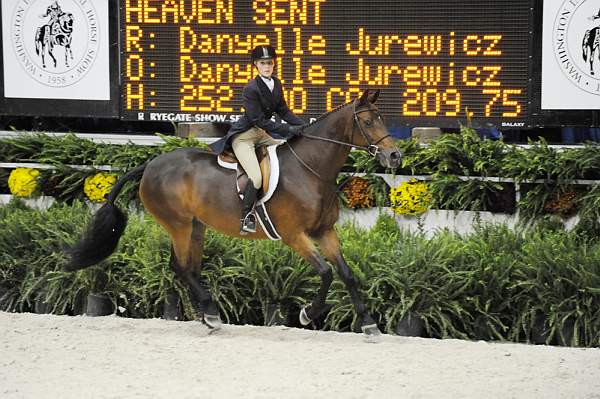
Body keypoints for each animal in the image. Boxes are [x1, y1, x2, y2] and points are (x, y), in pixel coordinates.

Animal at [65, 90, 404, 340]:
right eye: (368, 122)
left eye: (382, 118)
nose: (394, 155)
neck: (311, 170)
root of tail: (149, 165)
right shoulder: (295, 235)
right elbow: (325, 273)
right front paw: (308, 314)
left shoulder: (324, 231)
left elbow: (346, 274)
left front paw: (368, 323)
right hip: (179, 224)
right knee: (180, 267)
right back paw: (212, 314)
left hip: (197, 226)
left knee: (189, 267)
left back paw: (207, 315)